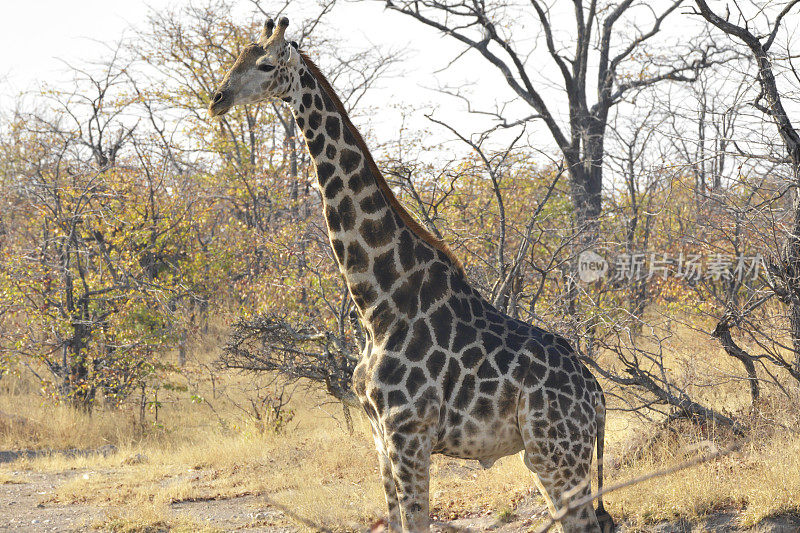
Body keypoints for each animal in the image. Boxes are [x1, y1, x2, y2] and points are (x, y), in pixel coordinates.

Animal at [209, 16, 616, 532]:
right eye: (235, 58)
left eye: (264, 64)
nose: (217, 98)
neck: (377, 303)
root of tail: (597, 396)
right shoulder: (380, 438)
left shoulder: (409, 433)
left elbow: (417, 522)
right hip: (551, 456)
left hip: (557, 453)